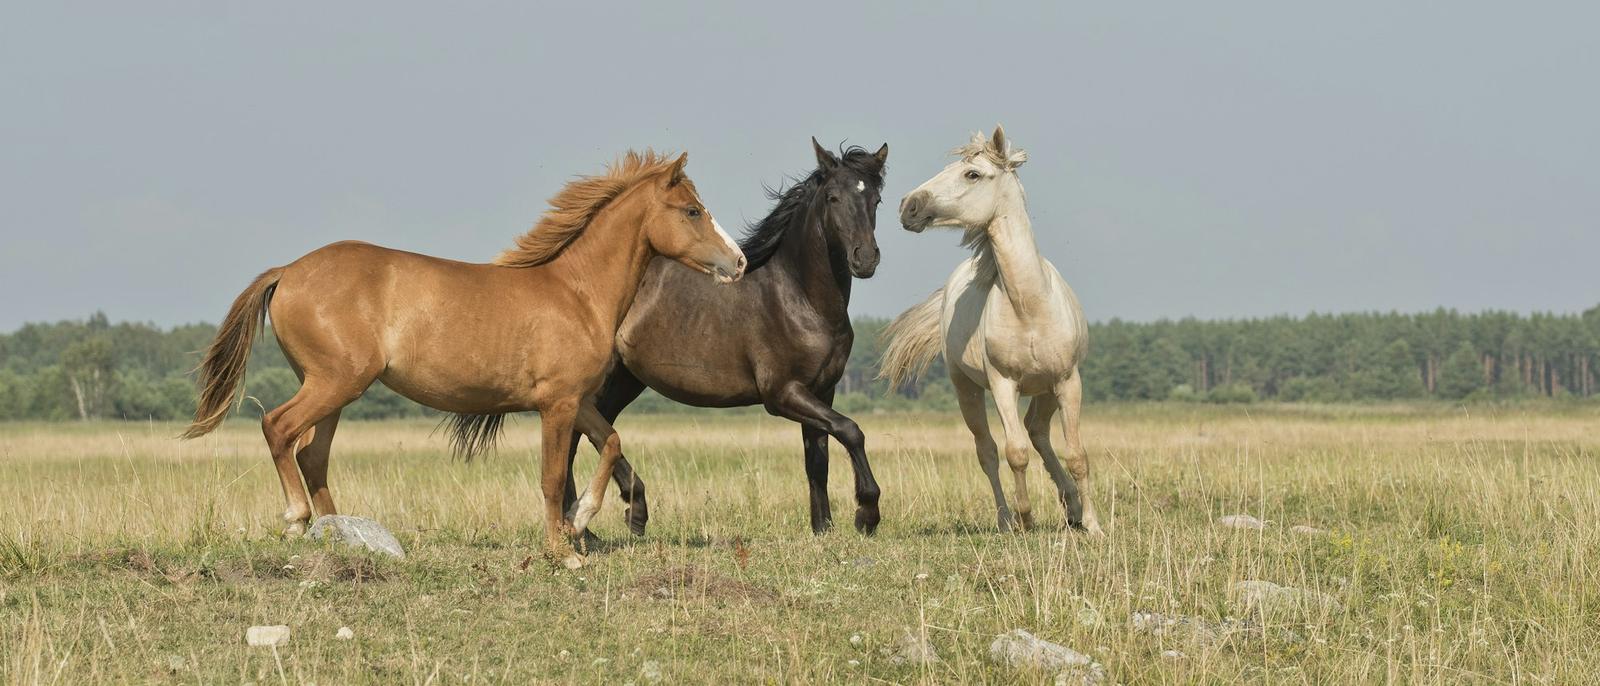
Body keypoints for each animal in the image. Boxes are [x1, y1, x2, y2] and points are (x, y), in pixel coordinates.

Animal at [181, 151, 747, 567]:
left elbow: (611, 442)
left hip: (334, 390)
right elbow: (550, 476)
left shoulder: (577, 400)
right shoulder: (557, 404)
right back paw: (298, 521)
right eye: (692, 210)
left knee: (311, 455)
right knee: (278, 428)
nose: (738, 262)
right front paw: (563, 552)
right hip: (334, 382)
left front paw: (581, 520)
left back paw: (341, 535)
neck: (577, 293)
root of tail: (288, 271)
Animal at [558, 139, 889, 537]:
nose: (865, 258)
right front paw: (866, 513)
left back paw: (604, 520)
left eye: (875, 199)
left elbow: (817, 460)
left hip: (626, 379)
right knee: (578, 436)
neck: (801, 299)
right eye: (833, 197)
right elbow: (850, 430)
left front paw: (823, 528)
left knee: (592, 433)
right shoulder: (782, 394)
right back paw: (597, 520)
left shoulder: (822, 390)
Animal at [879, 125, 1102, 534]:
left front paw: (1093, 526)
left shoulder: (1068, 381)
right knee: (988, 451)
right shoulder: (1003, 384)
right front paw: (1026, 518)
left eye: (972, 174)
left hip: (1046, 389)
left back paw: (1072, 507)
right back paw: (1006, 519)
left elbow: (1077, 454)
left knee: (1038, 431)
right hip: (966, 388)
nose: (908, 206)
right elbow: (1015, 453)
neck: (1030, 307)